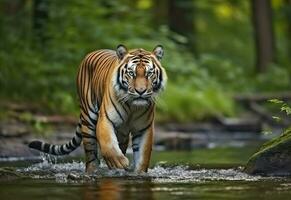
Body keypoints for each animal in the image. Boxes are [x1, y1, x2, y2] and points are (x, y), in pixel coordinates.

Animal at [29, 44, 168, 173]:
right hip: (88, 120)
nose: (141, 91)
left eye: (149, 73)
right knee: (91, 155)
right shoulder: (105, 119)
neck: (132, 106)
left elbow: (143, 157)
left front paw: (137, 172)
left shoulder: (144, 128)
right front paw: (119, 162)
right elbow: (108, 144)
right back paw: (93, 170)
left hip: (122, 132)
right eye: (131, 73)